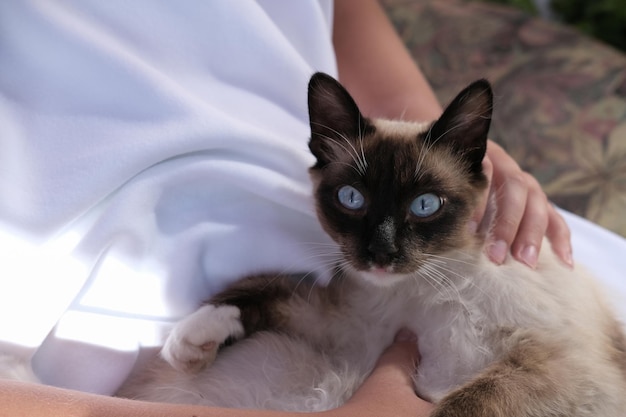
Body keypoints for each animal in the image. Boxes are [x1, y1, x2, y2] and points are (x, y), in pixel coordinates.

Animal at [118, 73, 624, 414]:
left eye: (425, 204)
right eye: (351, 198)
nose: (381, 254)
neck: (419, 294)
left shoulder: (555, 367)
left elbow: (464, 403)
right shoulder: (350, 332)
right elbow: (267, 287)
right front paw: (189, 342)